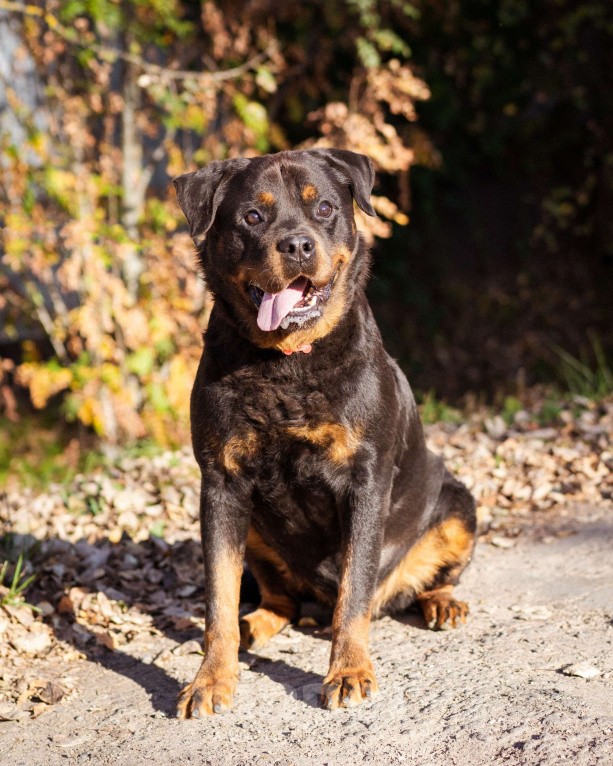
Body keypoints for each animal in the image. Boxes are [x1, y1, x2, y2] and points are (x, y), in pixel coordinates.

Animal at [172, 148, 478, 720]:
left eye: (325, 209)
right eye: (253, 216)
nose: (296, 244)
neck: (284, 364)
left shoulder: (365, 481)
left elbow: (353, 592)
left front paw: (349, 670)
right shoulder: (221, 483)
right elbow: (219, 598)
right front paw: (211, 678)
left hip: (458, 504)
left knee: (425, 579)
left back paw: (441, 602)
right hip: (254, 525)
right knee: (280, 600)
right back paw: (254, 626)